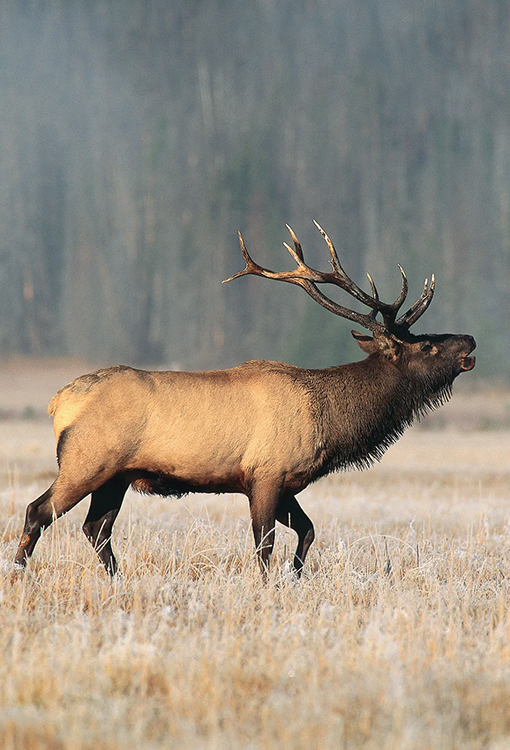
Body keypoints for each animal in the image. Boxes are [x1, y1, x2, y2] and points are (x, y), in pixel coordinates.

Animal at [13, 222, 476, 576]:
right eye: (426, 346)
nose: (469, 338)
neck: (330, 421)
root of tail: (59, 401)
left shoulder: (285, 482)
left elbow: (308, 531)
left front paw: (296, 576)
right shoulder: (266, 474)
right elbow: (264, 546)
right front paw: (270, 585)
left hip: (116, 476)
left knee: (96, 529)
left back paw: (118, 579)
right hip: (87, 461)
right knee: (39, 511)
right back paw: (19, 573)